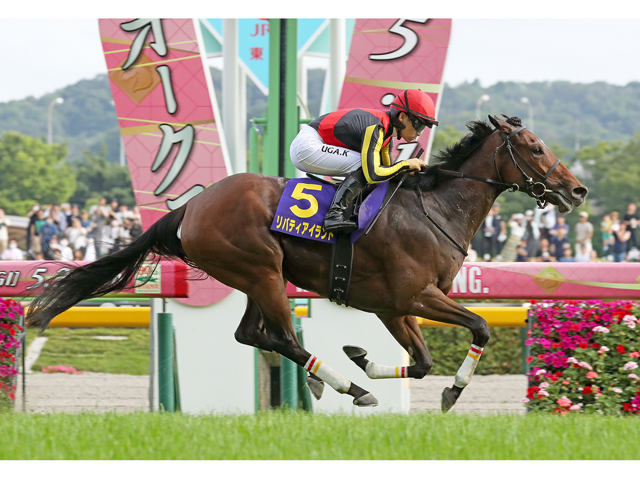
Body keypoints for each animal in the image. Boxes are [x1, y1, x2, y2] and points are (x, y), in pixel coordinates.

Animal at [26, 115, 587, 412]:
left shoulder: (393, 306)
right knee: (282, 338)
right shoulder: (415, 295)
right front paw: (452, 390)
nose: (577, 190)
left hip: (257, 277)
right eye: (536, 148)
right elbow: (480, 327)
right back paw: (346, 386)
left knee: (253, 334)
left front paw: (364, 356)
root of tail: (192, 206)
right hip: (261, 271)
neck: (435, 208)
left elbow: (423, 361)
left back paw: (340, 379)